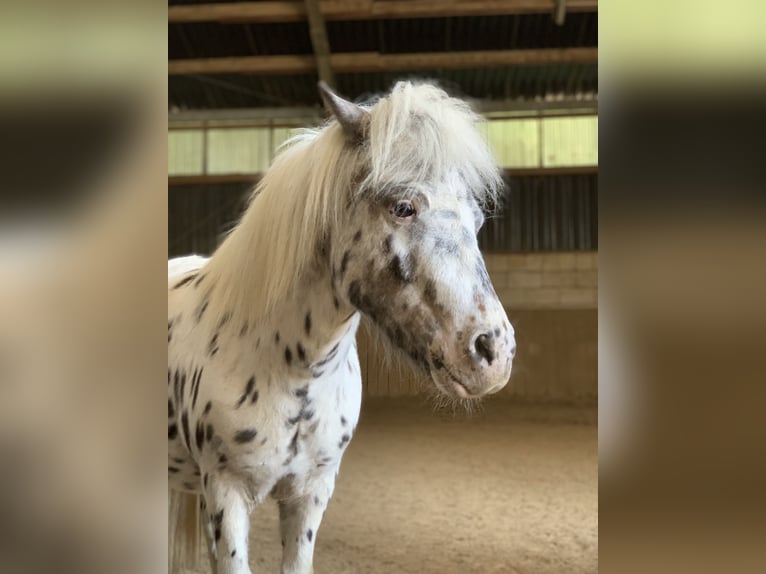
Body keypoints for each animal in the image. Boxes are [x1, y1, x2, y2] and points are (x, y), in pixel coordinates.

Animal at [168, 80, 517, 574]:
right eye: (402, 207)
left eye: (478, 219)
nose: (494, 352)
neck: (292, 371)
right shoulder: (225, 495)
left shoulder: (311, 496)